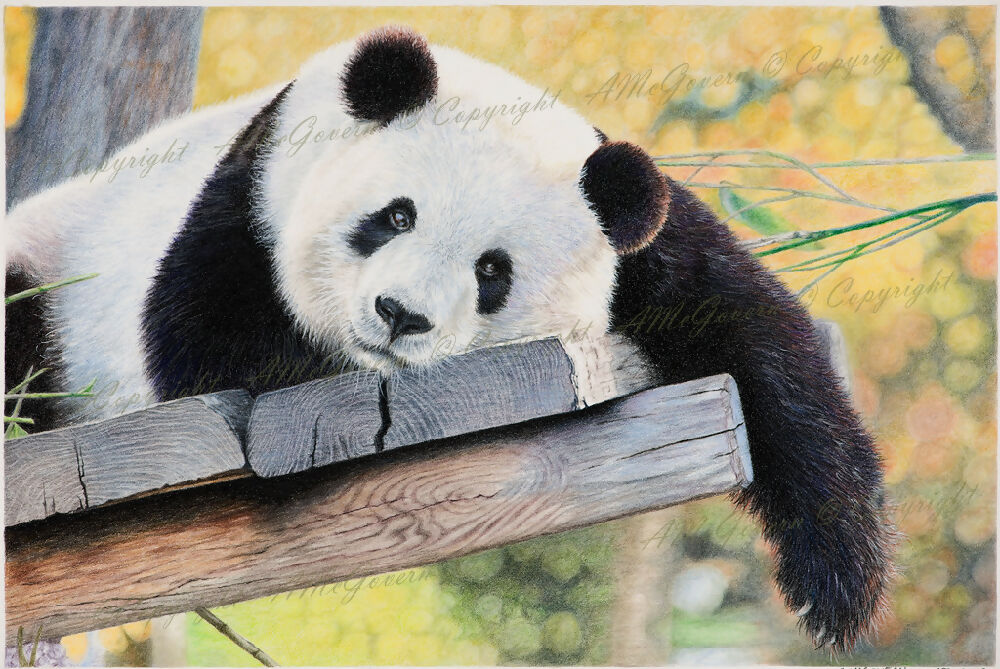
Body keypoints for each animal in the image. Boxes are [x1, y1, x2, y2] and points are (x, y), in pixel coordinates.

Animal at [5, 26, 894, 652]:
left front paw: (838, 582)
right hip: (49, 273)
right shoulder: (252, 191)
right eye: (395, 215)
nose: (401, 314)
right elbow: (205, 345)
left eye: (493, 269)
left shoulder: (641, 245)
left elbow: (756, 336)